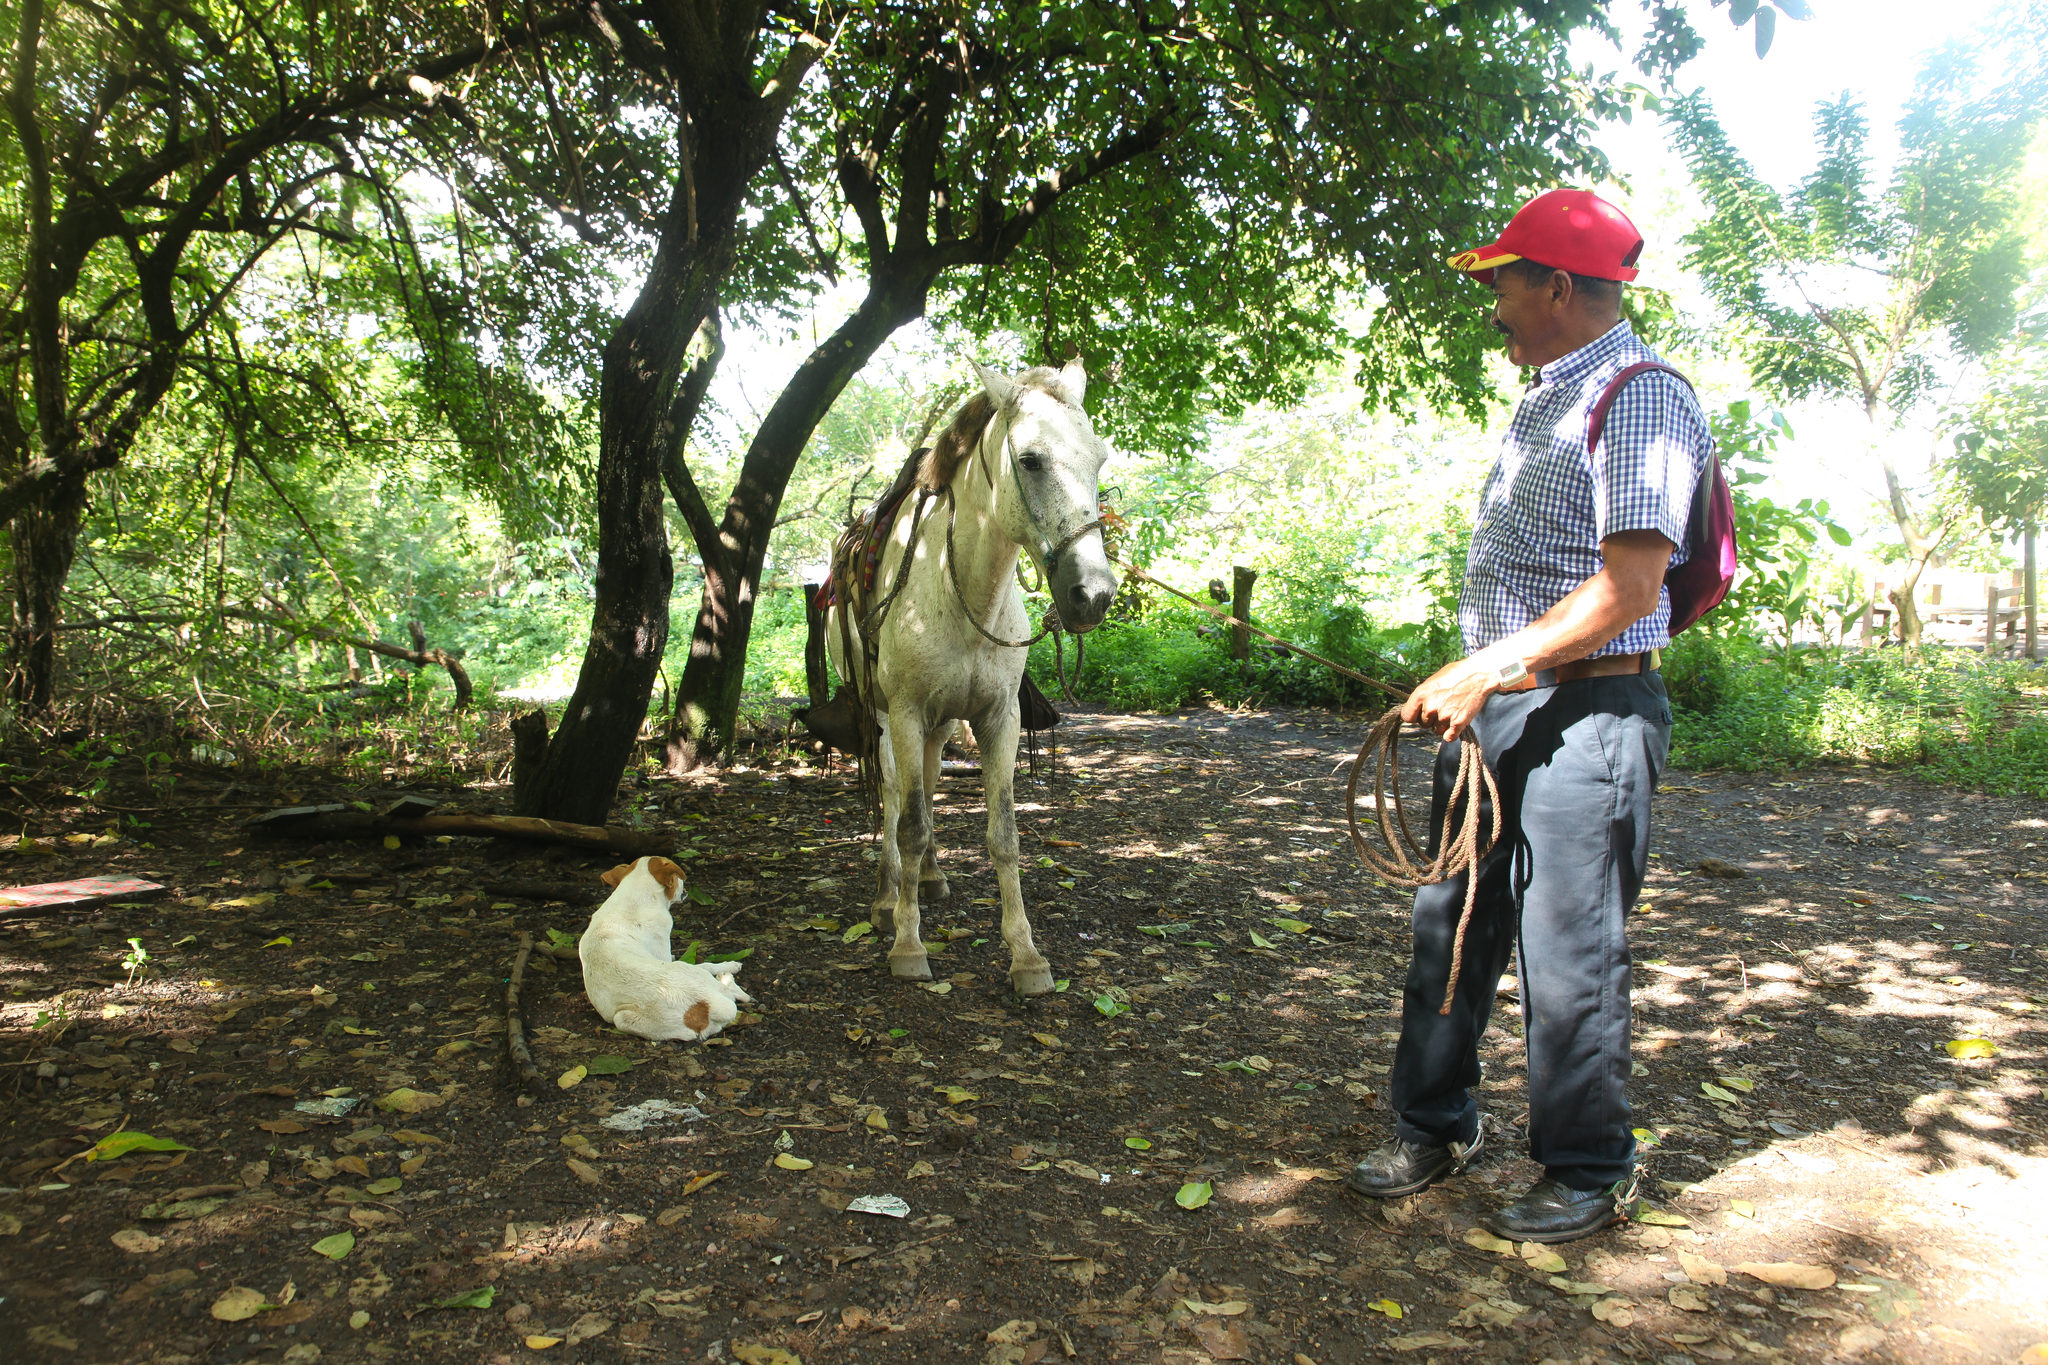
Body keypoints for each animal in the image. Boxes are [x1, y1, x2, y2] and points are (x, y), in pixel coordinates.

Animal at [577, 859, 753, 1039]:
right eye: (676, 878)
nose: (684, 883)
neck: (632, 900)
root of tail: (708, 1003)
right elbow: (707, 964)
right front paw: (730, 965)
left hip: (624, 1018)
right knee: (727, 991)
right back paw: (728, 978)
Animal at [823, 362, 1122, 998]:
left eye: (1100, 459)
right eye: (1029, 459)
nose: (1093, 594)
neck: (961, 589)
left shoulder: (997, 718)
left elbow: (1003, 834)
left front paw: (1027, 956)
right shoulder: (908, 712)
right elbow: (909, 823)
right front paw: (908, 944)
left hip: (939, 724)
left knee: (929, 783)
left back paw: (930, 878)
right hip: (886, 716)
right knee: (896, 796)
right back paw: (888, 897)